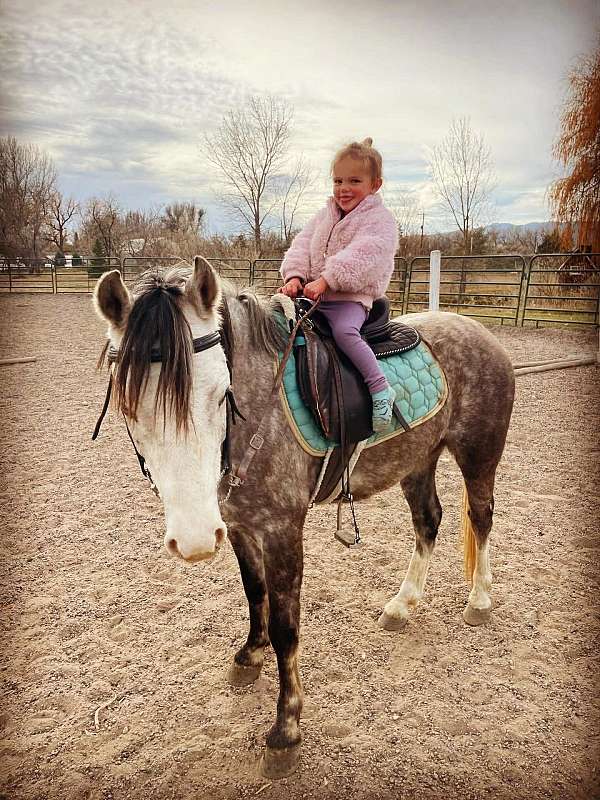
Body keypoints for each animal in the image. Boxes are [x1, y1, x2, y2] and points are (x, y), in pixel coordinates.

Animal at [92, 256, 515, 779]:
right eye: (128, 405)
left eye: (222, 394)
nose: (194, 539)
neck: (261, 409)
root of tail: (479, 331)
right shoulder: (239, 525)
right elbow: (255, 595)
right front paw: (248, 657)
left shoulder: (281, 530)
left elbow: (286, 627)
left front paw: (285, 731)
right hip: (417, 458)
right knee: (428, 521)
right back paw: (401, 605)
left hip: (478, 454)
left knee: (481, 516)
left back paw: (479, 601)